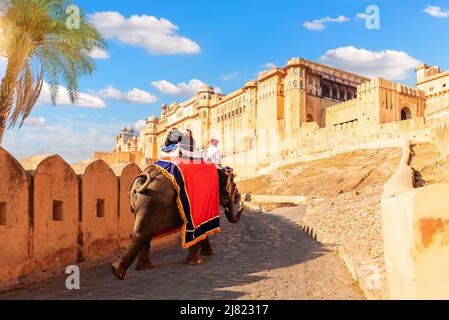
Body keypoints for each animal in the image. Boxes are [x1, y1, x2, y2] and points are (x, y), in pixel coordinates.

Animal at [112, 162, 245, 280]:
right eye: (234, 187)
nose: (241, 202)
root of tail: (144, 176)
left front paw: (207, 254)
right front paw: (198, 261)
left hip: (141, 202)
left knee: (145, 231)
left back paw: (139, 268)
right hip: (153, 201)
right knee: (143, 232)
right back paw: (119, 273)